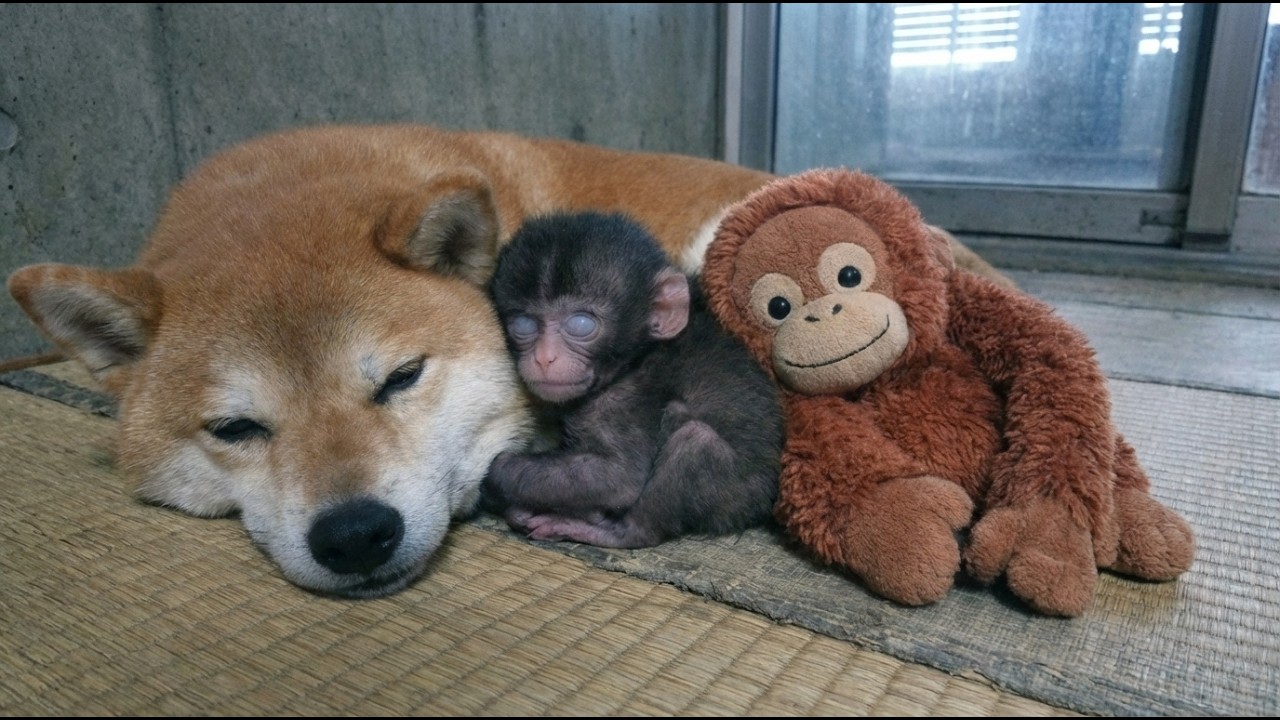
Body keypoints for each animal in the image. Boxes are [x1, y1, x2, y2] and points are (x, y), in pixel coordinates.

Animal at [482, 210, 785, 549]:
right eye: (523, 324)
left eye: (581, 324)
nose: (544, 358)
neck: (634, 359)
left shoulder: (623, 402)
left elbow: (620, 477)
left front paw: (493, 476)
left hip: (736, 494)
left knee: (696, 438)